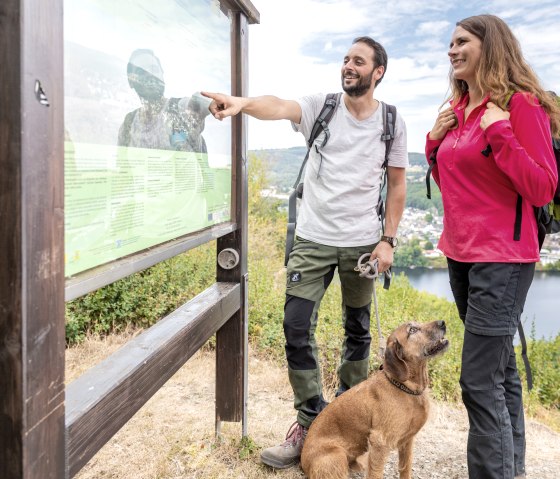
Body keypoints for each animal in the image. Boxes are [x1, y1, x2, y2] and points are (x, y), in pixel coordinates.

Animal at [300, 318, 448, 479]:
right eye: (412, 330)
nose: (442, 322)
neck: (406, 388)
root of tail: (303, 463)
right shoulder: (379, 442)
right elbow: (376, 472)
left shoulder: (407, 441)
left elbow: (405, 468)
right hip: (337, 455)